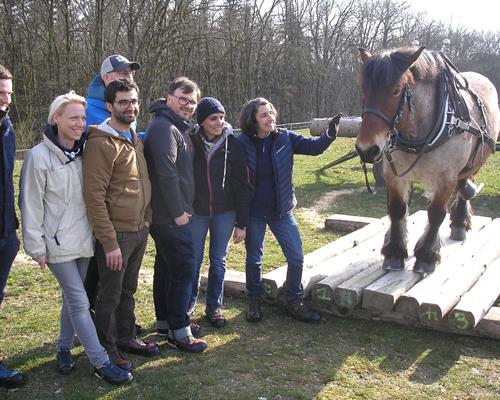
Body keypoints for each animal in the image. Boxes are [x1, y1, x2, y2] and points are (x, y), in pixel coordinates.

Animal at [356, 45, 500, 274]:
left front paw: (426, 256)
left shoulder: (445, 178)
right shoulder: (395, 176)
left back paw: (459, 223)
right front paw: (395, 252)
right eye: (364, 90)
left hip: (475, 161)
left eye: (396, 90)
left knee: (467, 181)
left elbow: (436, 214)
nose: (366, 149)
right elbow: (397, 209)